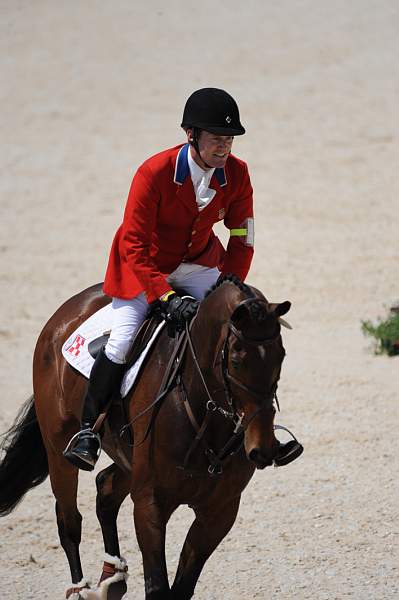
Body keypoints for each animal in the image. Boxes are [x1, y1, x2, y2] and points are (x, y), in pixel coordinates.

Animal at [0, 276, 296, 600]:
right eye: (236, 359)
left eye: (281, 355)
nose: (262, 448)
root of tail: (66, 311)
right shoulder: (150, 503)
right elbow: (157, 586)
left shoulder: (219, 511)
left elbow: (181, 588)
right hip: (59, 449)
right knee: (68, 520)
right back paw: (80, 588)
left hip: (128, 458)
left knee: (106, 487)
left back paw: (113, 577)